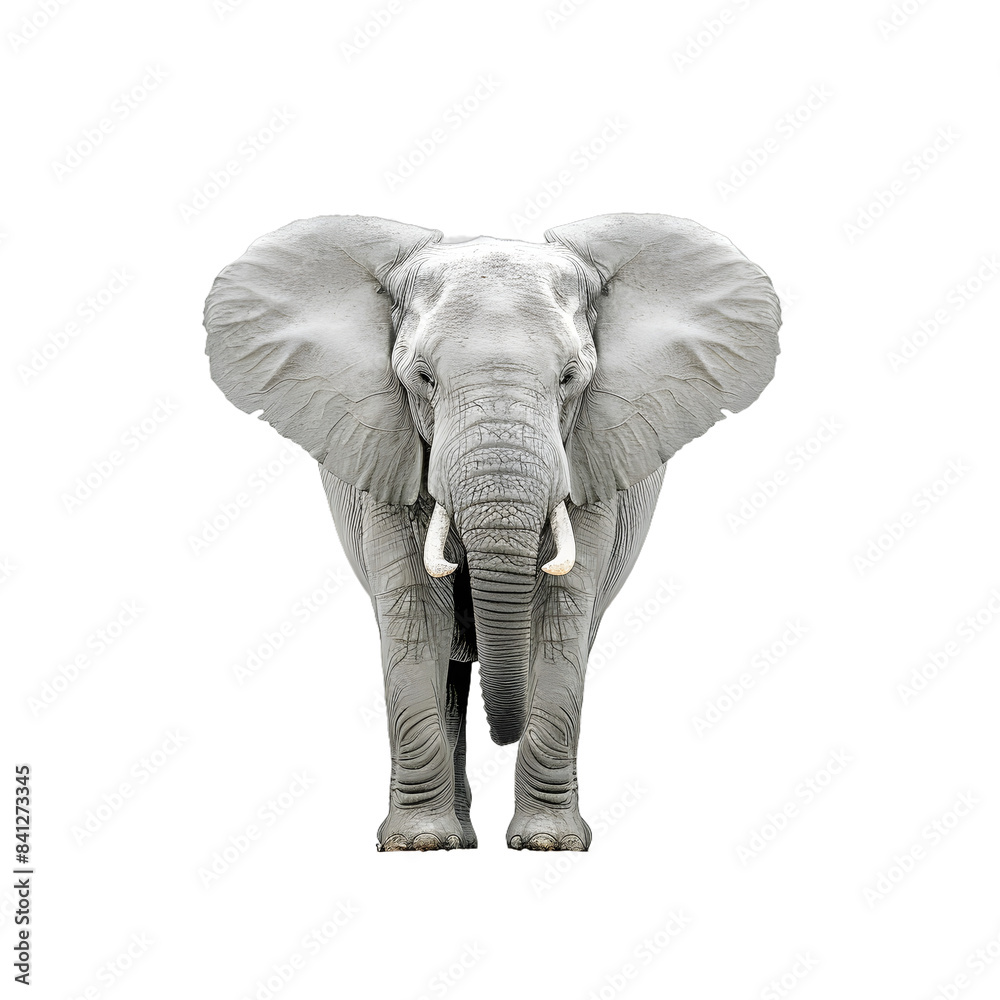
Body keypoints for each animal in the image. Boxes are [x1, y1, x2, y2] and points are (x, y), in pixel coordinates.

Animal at [203, 213, 781, 852]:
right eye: (422, 378)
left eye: (570, 378)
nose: (506, 732)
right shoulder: (386, 454)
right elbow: (415, 615)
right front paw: (419, 845)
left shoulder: (592, 455)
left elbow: (561, 616)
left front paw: (547, 843)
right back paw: (457, 837)